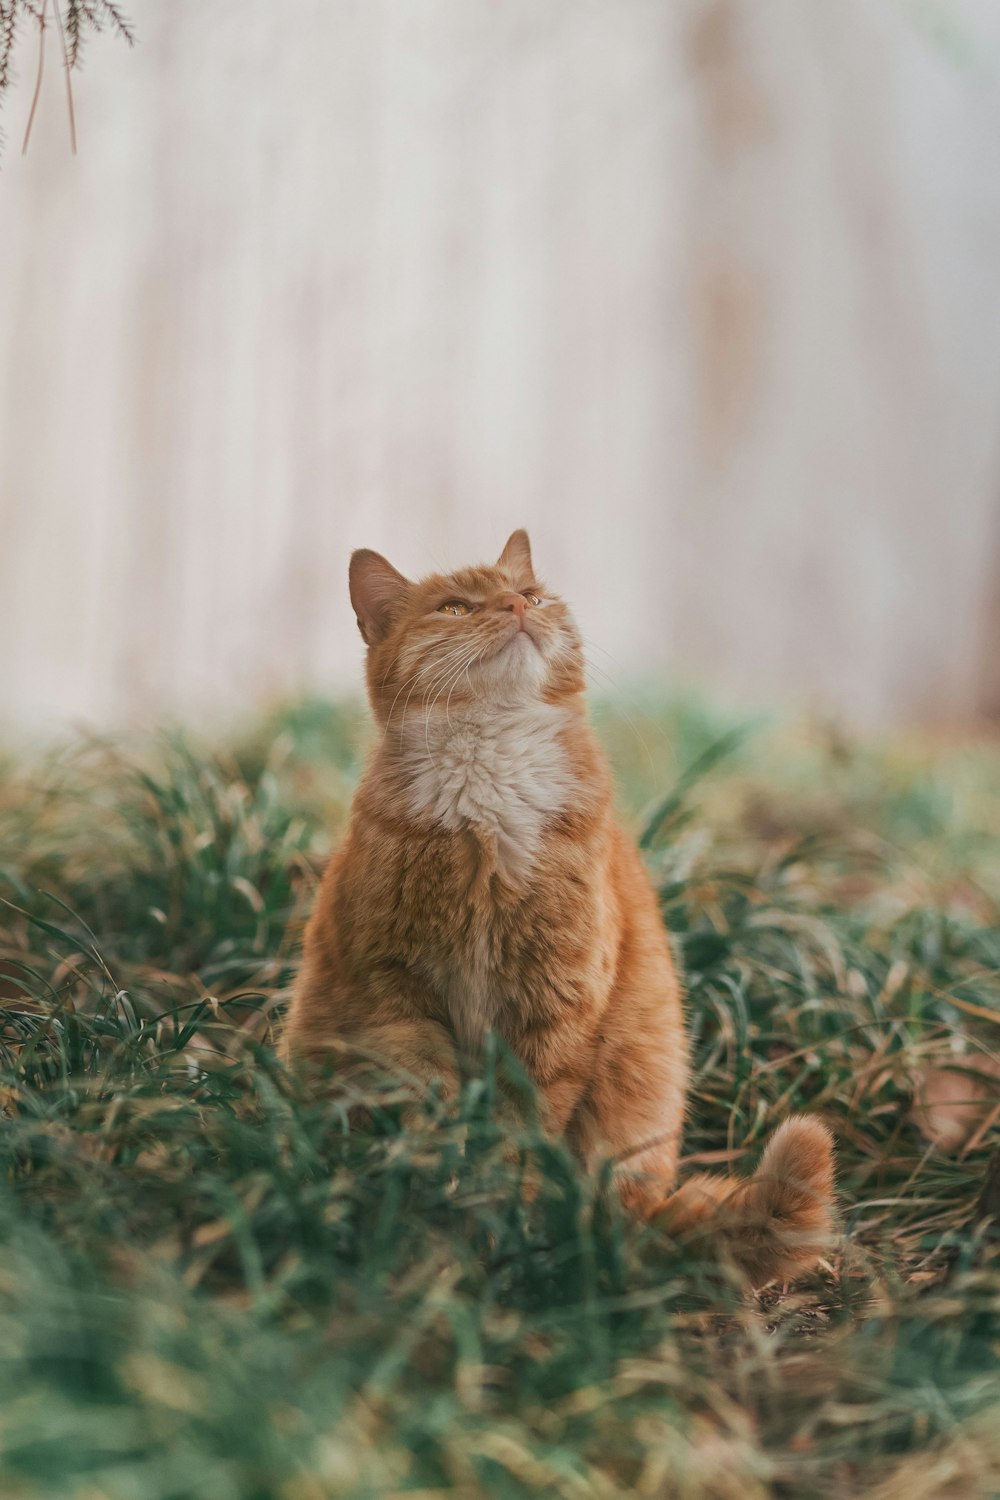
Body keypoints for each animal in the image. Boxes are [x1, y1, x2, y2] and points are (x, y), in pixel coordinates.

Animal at [283, 534, 839, 1284]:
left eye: (535, 596)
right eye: (455, 608)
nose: (518, 607)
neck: (489, 790)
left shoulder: (554, 1000)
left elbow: (523, 1130)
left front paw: (500, 1213)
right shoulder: (396, 994)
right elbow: (431, 1106)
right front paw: (440, 1196)